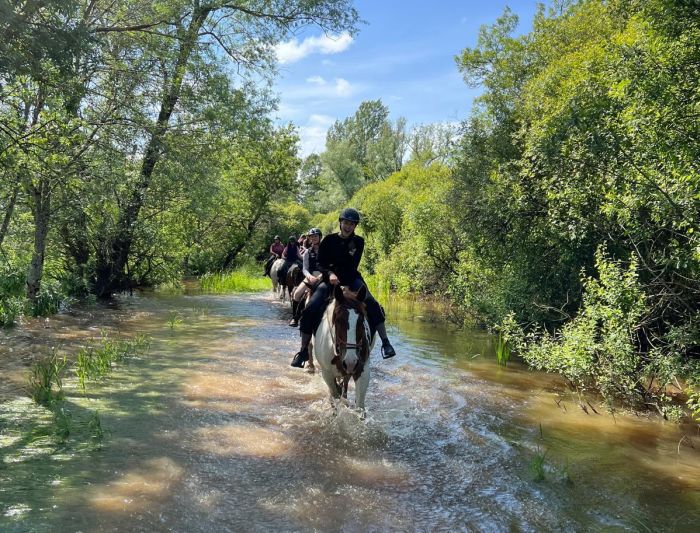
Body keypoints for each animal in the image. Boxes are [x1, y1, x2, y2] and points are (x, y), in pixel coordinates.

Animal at [314, 282, 378, 416]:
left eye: (361, 320)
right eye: (338, 320)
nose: (350, 361)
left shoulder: (362, 370)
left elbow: (359, 407)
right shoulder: (327, 374)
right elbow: (335, 398)